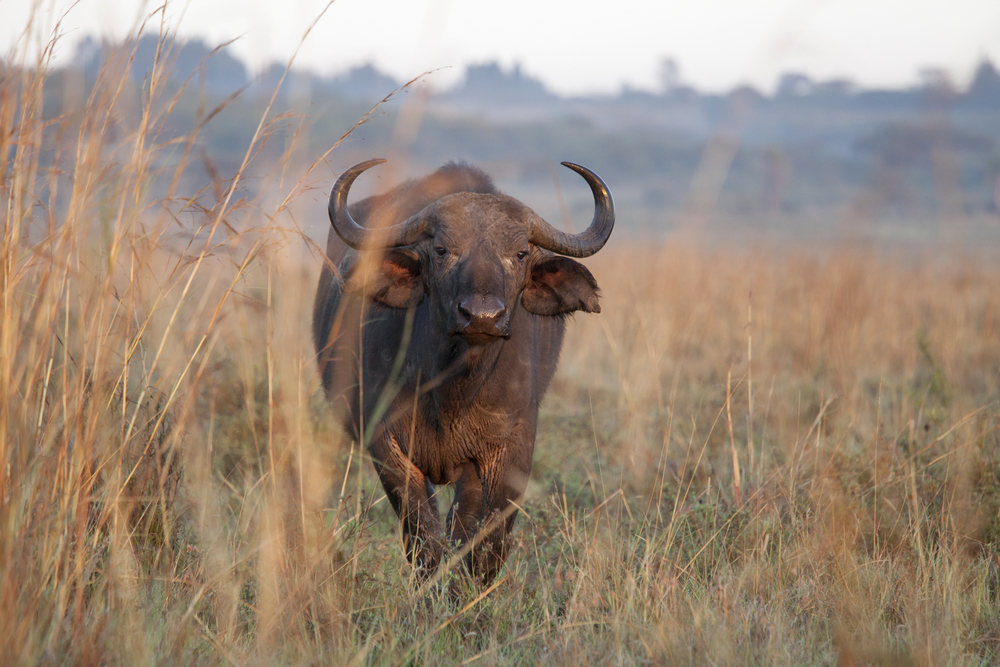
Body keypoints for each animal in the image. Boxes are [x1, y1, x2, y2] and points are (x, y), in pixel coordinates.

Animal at [312, 159, 612, 588]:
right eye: (441, 250)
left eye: (520, 253)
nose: (483, 316)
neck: (453, 389)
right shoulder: (385, 442)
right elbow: (423, 535)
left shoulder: (510, 450)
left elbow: (487, 542)